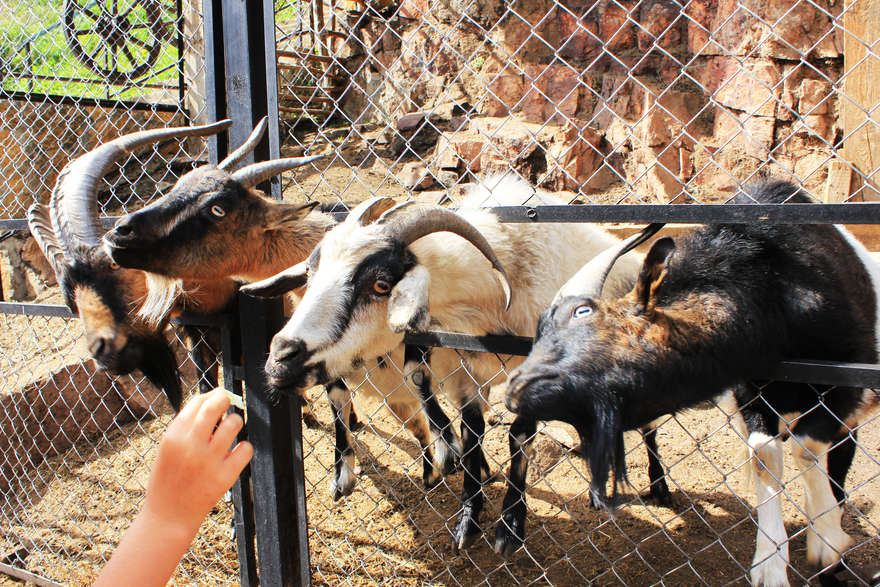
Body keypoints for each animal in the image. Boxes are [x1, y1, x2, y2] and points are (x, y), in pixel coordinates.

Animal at [241, 177, 648, 552]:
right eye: (311, 272)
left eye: (382, 285)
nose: (281, 357)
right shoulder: (458, 368)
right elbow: (470, 430)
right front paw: (469, 515)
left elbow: (519, 435)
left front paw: (510, 524)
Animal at [502, 180, 880, 587]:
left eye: (583, 311)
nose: (515, 388)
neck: (774, 287)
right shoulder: (752, 392)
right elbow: (764, 455)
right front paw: (771, 564)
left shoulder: (846, 380)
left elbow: (807, 447)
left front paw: (827, 539)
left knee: (837, 463)